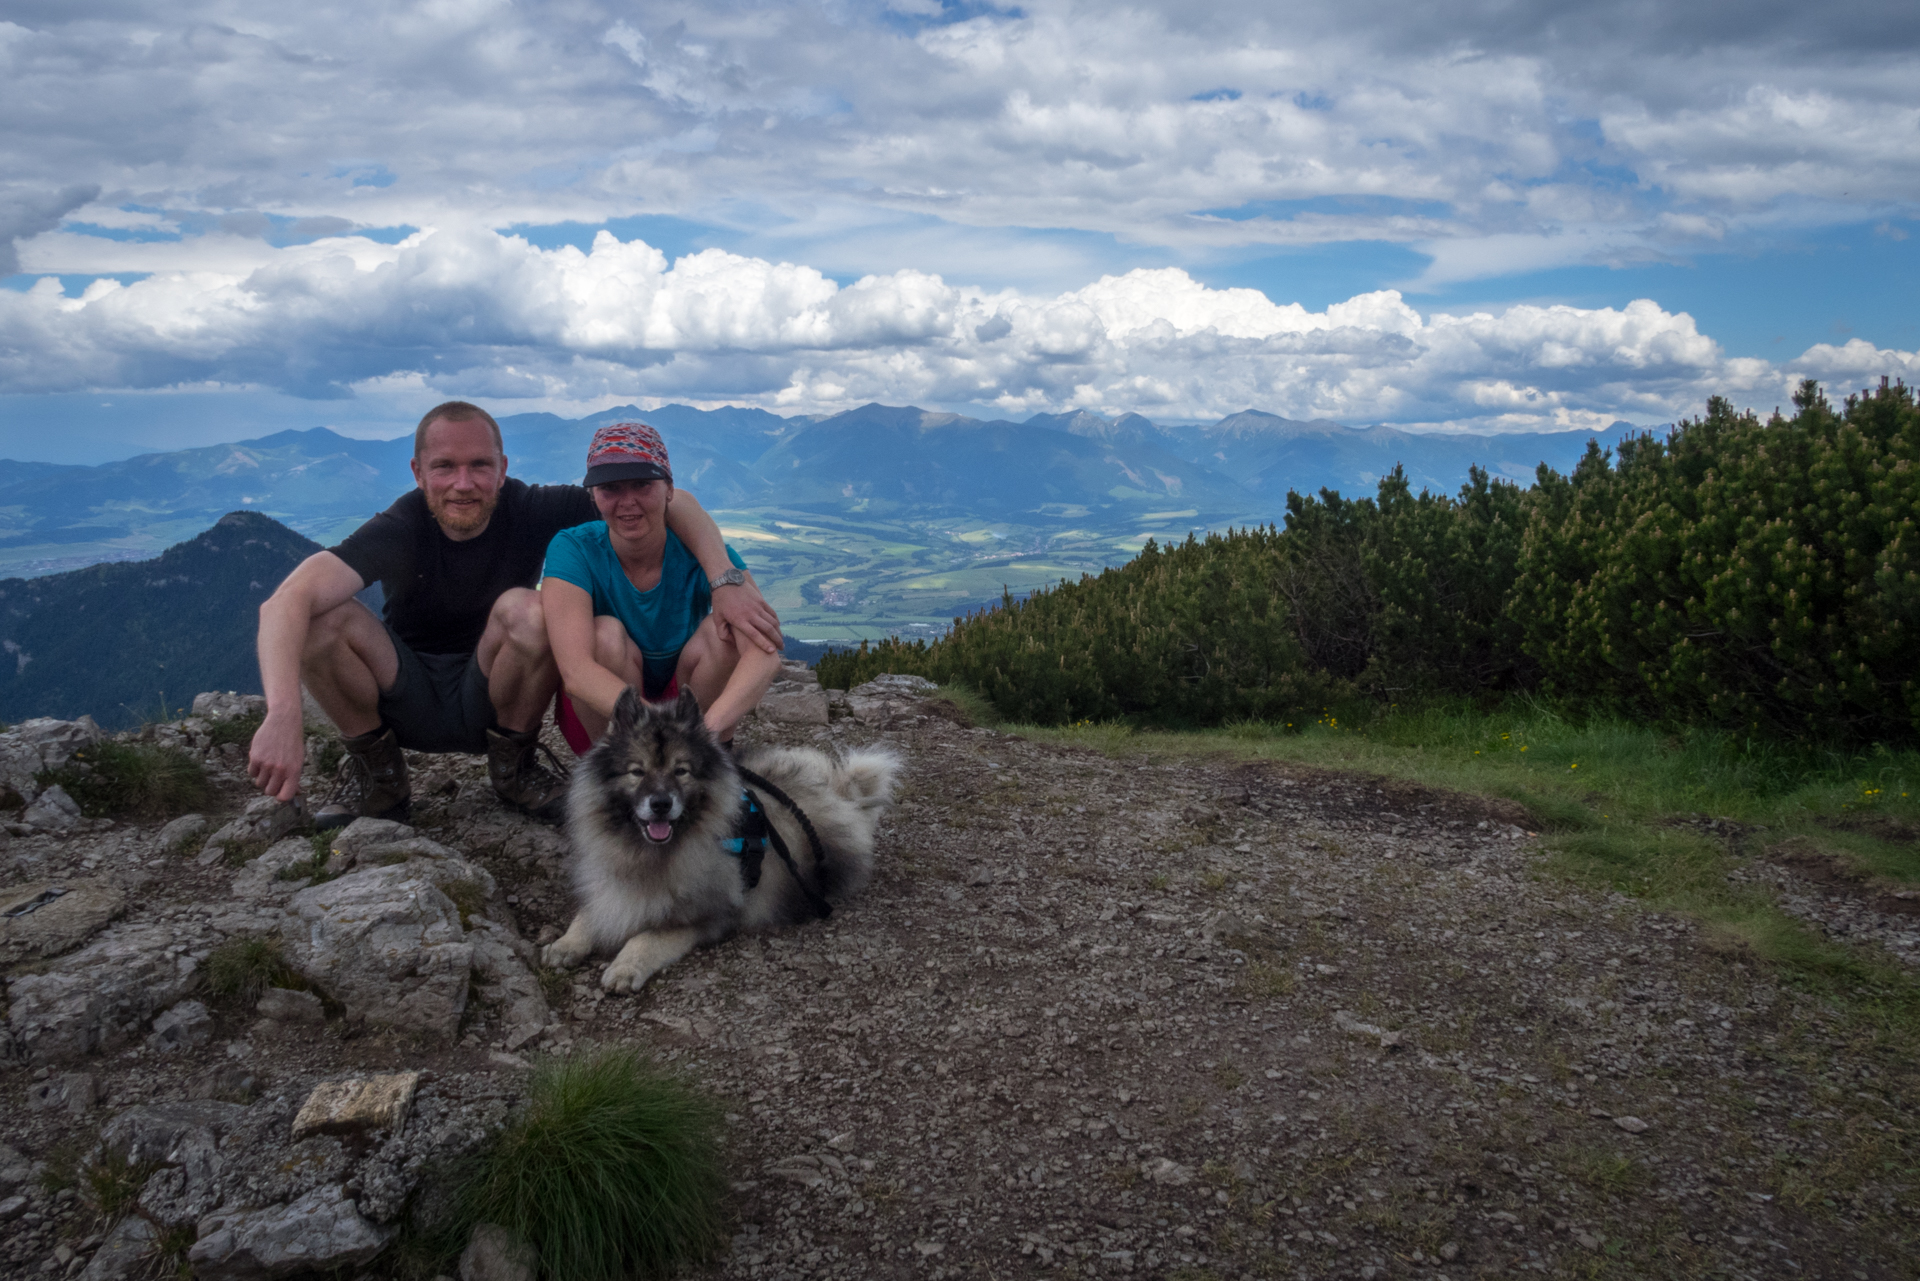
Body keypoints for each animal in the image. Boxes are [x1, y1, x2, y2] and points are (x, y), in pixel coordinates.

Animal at [541, 687, 898, 998]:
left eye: (681, 771)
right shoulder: (610, 885)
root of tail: (839, 793)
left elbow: (646, 937)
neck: (646, 851)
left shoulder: (703, 916)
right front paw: (565, 944)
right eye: (637, 772)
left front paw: (625, 967)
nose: (661, 804)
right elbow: (588, 914)